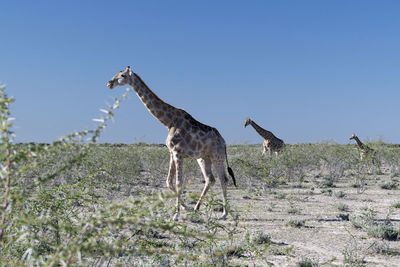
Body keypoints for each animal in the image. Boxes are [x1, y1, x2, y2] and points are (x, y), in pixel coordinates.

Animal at [108, 66, 236, 222]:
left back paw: (224, 214)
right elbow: (169, 181)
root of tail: (223, 141)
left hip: (217, 156)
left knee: (224, 179)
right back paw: (196, 208)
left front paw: (176, 215)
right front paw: (185, 208)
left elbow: (178, 183)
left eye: (122, 75)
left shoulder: (178, 152)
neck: (168, 122)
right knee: (210, 179)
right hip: (203, 158)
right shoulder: (171, 152)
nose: (109, 83)